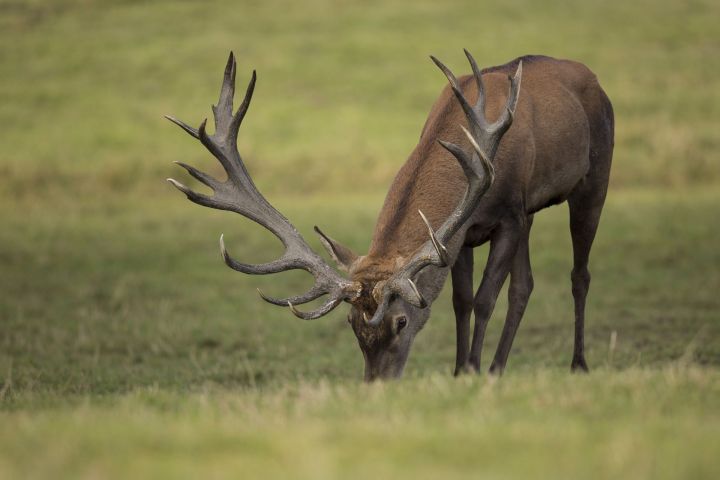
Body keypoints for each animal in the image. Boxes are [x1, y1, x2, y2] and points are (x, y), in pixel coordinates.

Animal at [165, 48, 612, 380]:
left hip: (594, 179)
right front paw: (461, 372)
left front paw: (471, 369)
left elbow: (486, 299)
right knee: (525, 284)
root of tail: (592, 76)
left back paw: (578, 364)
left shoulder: (510, 214)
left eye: (400, 322)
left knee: (580, 274)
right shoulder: (459, 235)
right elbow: (462, 300)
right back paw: (499, 369)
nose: (375, 385)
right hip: (533, 213)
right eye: (352, 325)